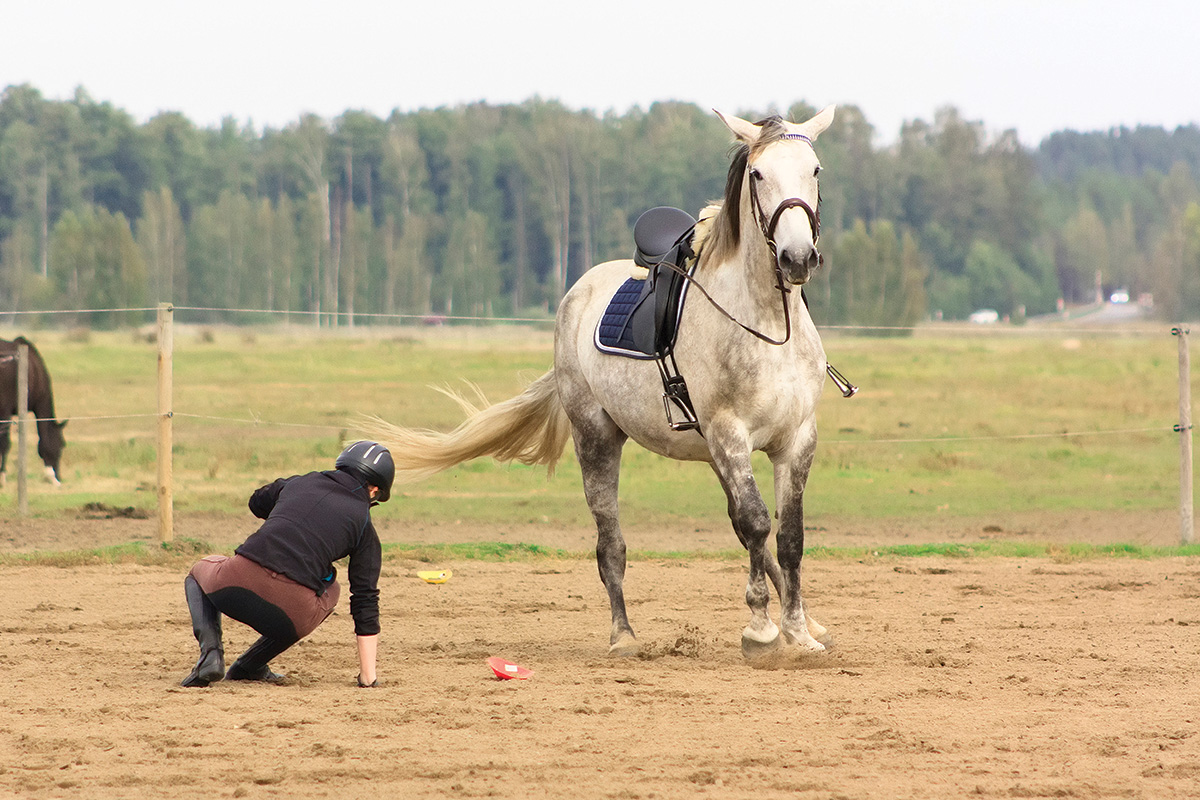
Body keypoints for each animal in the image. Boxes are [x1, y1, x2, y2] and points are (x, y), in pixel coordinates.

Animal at [369, 106, 840, 657]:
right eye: (759, 174)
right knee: (611, 541)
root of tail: (578, 290)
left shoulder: (796, 440)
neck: (765, 325)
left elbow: (788, 536)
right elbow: (758, 521)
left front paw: (798, 633)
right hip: (597, 437)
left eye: (815, 169)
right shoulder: (729, 435)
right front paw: (762, 630)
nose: (797, 258)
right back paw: (623, 635)